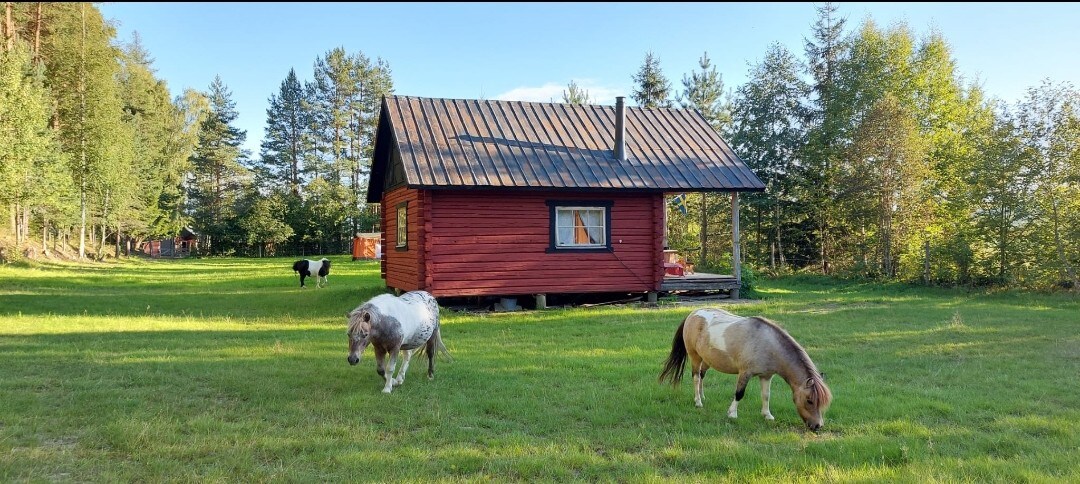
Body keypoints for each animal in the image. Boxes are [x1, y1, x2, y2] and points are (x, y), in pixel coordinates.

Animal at [652, 308, 829, 429]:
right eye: (809, 400)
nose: (818, 426)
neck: (768, 344)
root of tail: (693, 313)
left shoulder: (766, 376)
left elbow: (766, 395)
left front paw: (767, 415)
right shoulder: (745, 373)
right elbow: (739, 393)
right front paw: (732, 414)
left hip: (707, 360)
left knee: (701, 376)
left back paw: (702, 397)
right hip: (695, 356)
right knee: (696, 378)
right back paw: (698, 402)